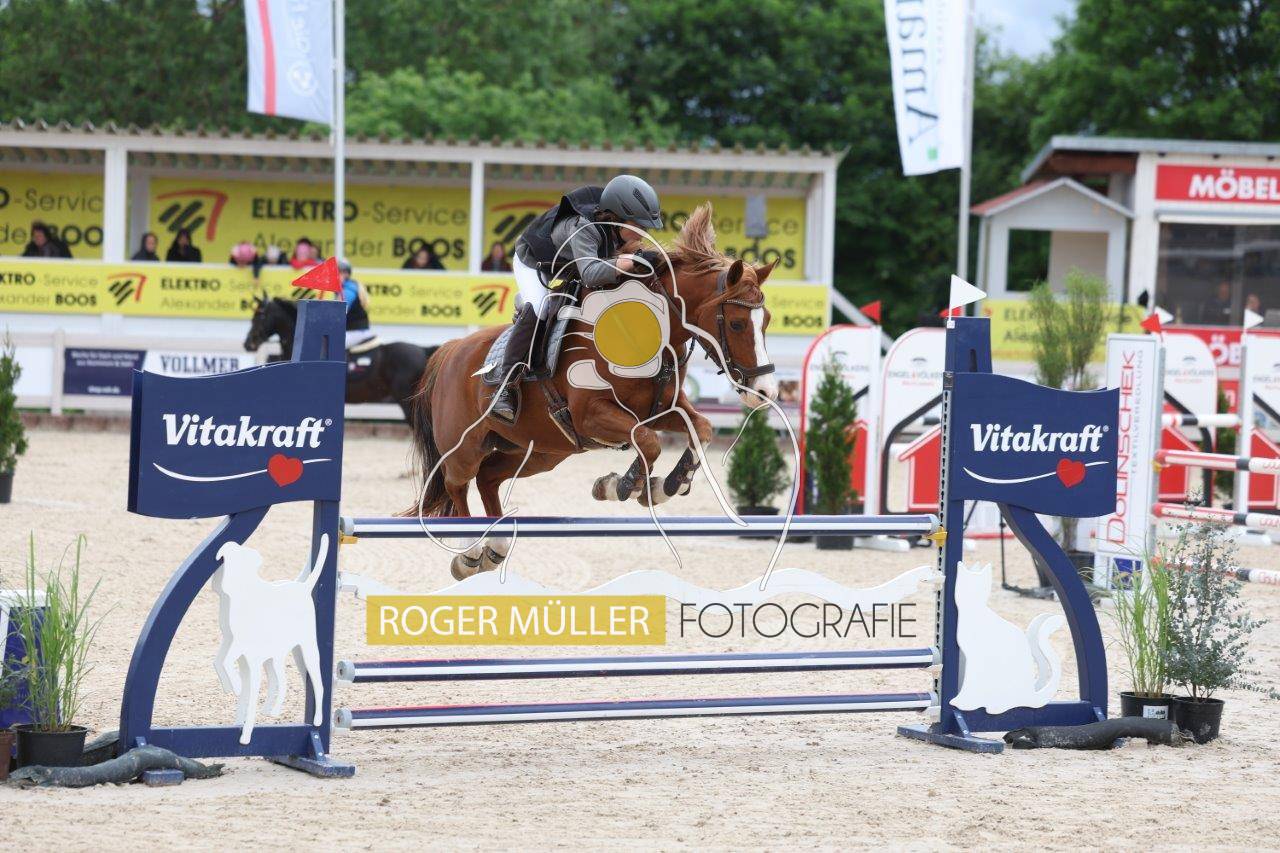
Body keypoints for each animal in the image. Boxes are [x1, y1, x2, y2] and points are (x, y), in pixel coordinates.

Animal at [406, 203, 781, 579]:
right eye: (736, 323)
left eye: (766, 321)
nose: (764, 390)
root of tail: (451, 350)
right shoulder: (591, 416)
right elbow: (648, 441)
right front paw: (623, 486)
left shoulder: (663, 409)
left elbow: (699, 429)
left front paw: (666, 485)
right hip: (465, 446)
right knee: (457, 483)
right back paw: (469, 552)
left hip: (537, 451)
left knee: (487, 478)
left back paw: (494, 547)